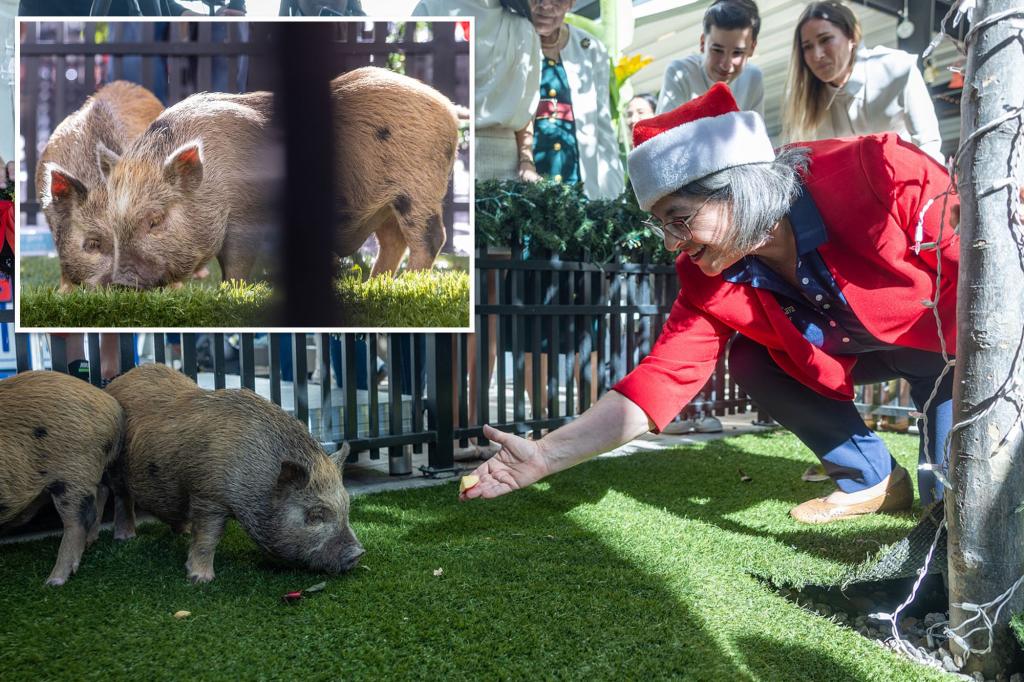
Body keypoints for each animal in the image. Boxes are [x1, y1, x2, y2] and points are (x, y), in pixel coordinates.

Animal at [0, 368, 125, 581]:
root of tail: (111, 404)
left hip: (73, 472)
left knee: (80, 518)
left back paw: (54, 581)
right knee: (101, 491)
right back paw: (89, 543)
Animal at [91, 64, 460, 286]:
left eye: (155, 220)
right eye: (113, 222)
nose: (120, 283)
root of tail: (447, 105)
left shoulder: (246, 217)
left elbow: (236, 263)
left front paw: (231, 291)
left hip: (418, 187)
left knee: (430, 238)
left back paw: (407, 285)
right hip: (385, 202)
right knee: (393, 240)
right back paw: (375, 284)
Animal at [107, 364, 364, 581]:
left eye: (346, 509)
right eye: (315, 515)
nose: (358, 553)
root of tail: (117, 381)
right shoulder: (207, 495)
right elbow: (208, 537)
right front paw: (201, 580)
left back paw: (184, 531)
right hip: (115, 469)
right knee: (122, 498)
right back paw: (125, 538)